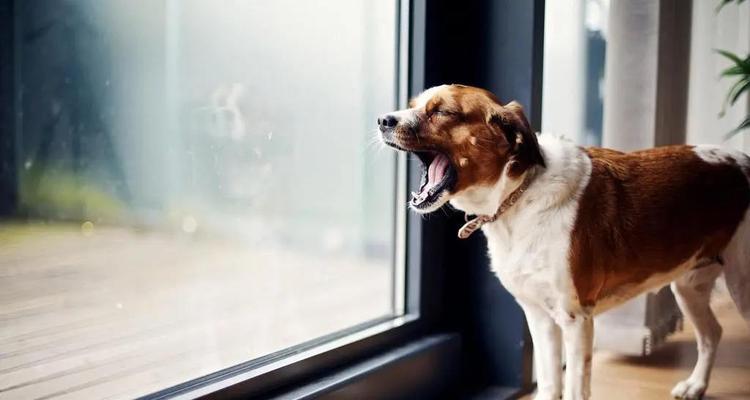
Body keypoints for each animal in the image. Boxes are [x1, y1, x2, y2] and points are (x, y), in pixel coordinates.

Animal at [378, 84, 750, 400]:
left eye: (443, 112)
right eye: (412, 104)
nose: (384, 120)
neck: (517, 194)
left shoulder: (575, 321)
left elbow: (573, 389)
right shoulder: (539, 317)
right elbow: (548, 383)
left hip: (740, 291)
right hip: (689, 288)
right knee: (712, 333)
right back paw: (696, 385)